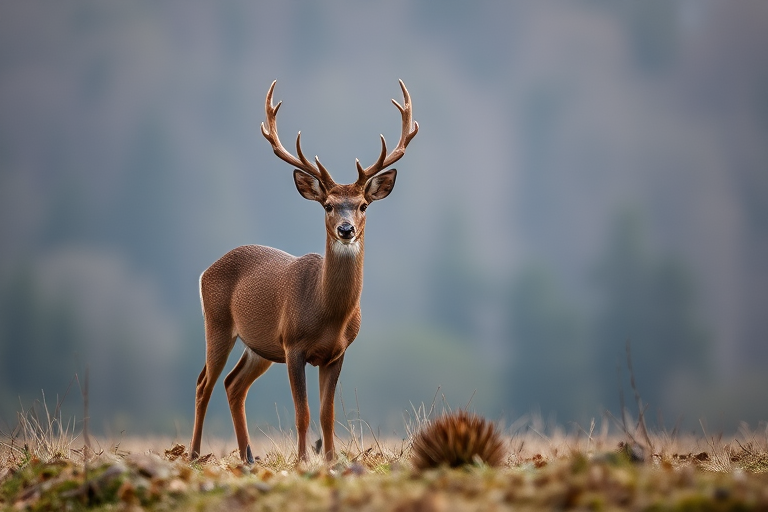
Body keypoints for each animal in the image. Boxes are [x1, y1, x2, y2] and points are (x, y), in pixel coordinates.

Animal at [189, 80, 418, 464]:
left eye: (363, 205)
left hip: (259, 345)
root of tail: (206, 270)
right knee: (204, 383)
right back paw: (192, 454)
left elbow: (327, 413)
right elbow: (303, 412)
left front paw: (330, 460)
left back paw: (248, 457)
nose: (346, 229)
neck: (327, 313)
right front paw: (302, 460)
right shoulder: (293, 345)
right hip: (218, 323)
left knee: (233, 385)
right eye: (327, 205)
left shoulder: (337, 353)